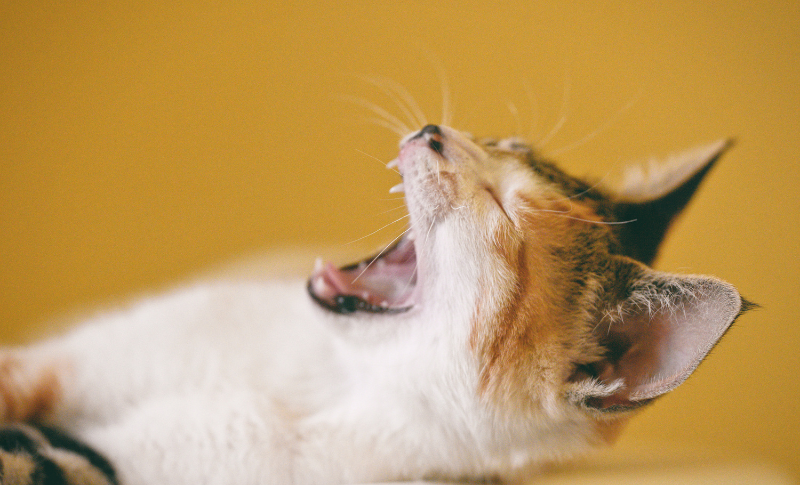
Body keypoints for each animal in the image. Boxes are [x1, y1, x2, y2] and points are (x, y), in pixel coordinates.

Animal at [0, 123, 752, 482]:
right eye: (501, 142)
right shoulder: (76, 359)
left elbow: (48, 460)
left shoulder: (126, 462)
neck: (326, 378)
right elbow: (23, 377)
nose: (433, 131)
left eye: (503, 208)